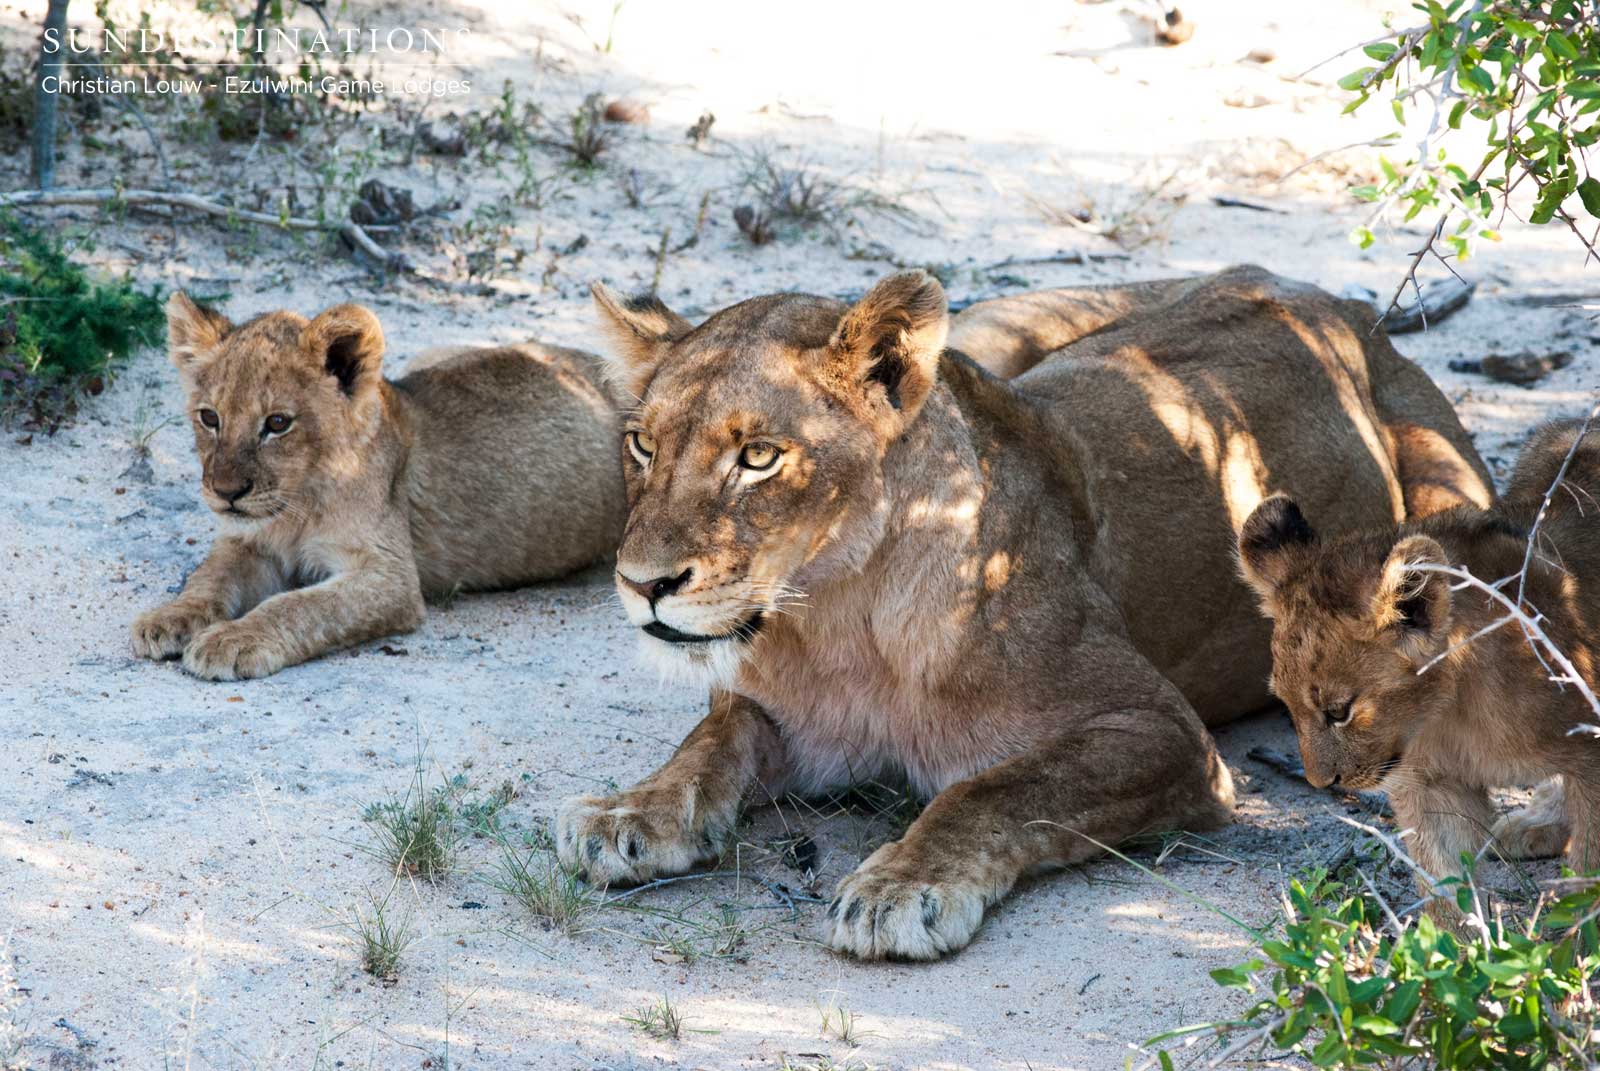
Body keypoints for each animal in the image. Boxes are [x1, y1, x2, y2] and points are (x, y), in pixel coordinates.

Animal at [129, 294, 625, 680]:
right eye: (210, 417)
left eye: (278, 423)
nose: (226, 492)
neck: (298, 503)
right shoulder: (247, 541)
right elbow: (208, 577)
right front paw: (168, 619)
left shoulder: (391, 578)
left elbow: (298, 606)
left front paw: (232, 639)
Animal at [554, 264, 1493, 960]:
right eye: (642, 443)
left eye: (757, 456)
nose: (641, 582)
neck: (838, 614)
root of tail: (1335, 303)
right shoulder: (783, 714)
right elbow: (711, 740)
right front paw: (631, 811)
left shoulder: (1160, 729)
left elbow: (995, 789)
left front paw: (903, 886)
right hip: (993, 331)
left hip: (1458, 525)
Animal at [1238, 419, 1600, 891]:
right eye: (1285, 706)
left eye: (1339, 711)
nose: (1322, 782)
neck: (1449, 712)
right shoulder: (1427, 783)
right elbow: (1446, 889)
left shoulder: (1592, 756)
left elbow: (1591, 870)